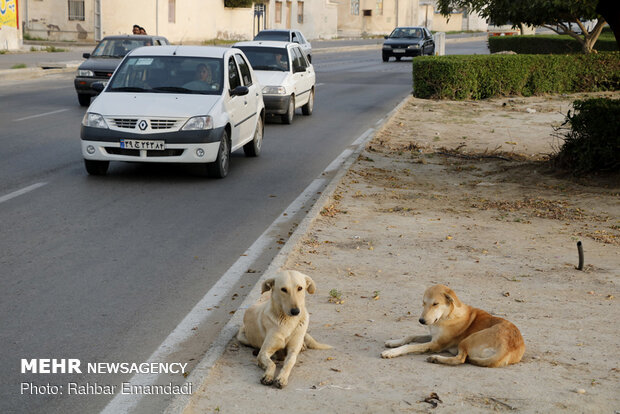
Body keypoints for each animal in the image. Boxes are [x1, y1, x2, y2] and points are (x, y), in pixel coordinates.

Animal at [382, 284, 524, 368]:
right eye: (423, 303)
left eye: (435, 304)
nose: (421, 321)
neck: (447, 316)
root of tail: (508, 347)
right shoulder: (433, 336)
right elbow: (410, 336)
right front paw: (393, 342)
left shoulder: (435, 344)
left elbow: (410, 346)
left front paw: (391, 352)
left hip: (467, 340)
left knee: (461, 359)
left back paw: (436, 358)